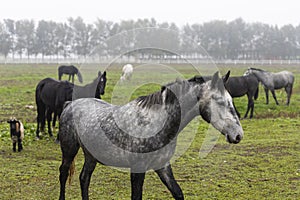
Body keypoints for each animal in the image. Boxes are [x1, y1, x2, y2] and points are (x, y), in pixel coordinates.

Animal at [58, 72, 244, 200]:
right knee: (63, 173)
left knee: (84, 178)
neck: (155, 123)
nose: (238, 135)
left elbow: (178, 193)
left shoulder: (163, 166)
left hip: (91, 156)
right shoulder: (138, 168)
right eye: (220, 101)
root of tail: (69, 105)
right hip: (69, 150)